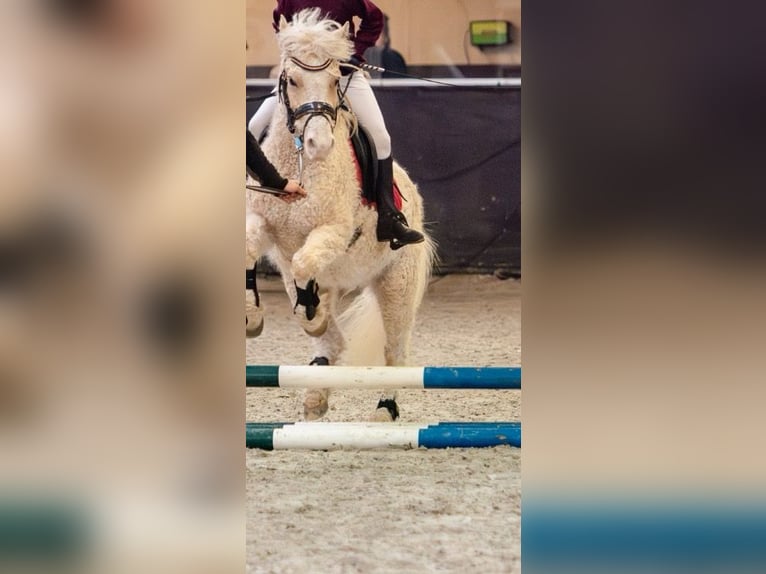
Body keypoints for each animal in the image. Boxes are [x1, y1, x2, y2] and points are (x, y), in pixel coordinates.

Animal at [245, 9, 434, 421]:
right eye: (292, 79)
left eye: (335, 79)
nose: (319, 144)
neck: (300, 165)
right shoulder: (263, 222)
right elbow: (251, 251)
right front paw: (252, 315)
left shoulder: (332, 231)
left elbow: (302, 262)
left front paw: (309, 312)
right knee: (332, 341)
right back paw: (316, 392)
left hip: (396, 284)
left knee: (395, 352)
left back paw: (384, 409)